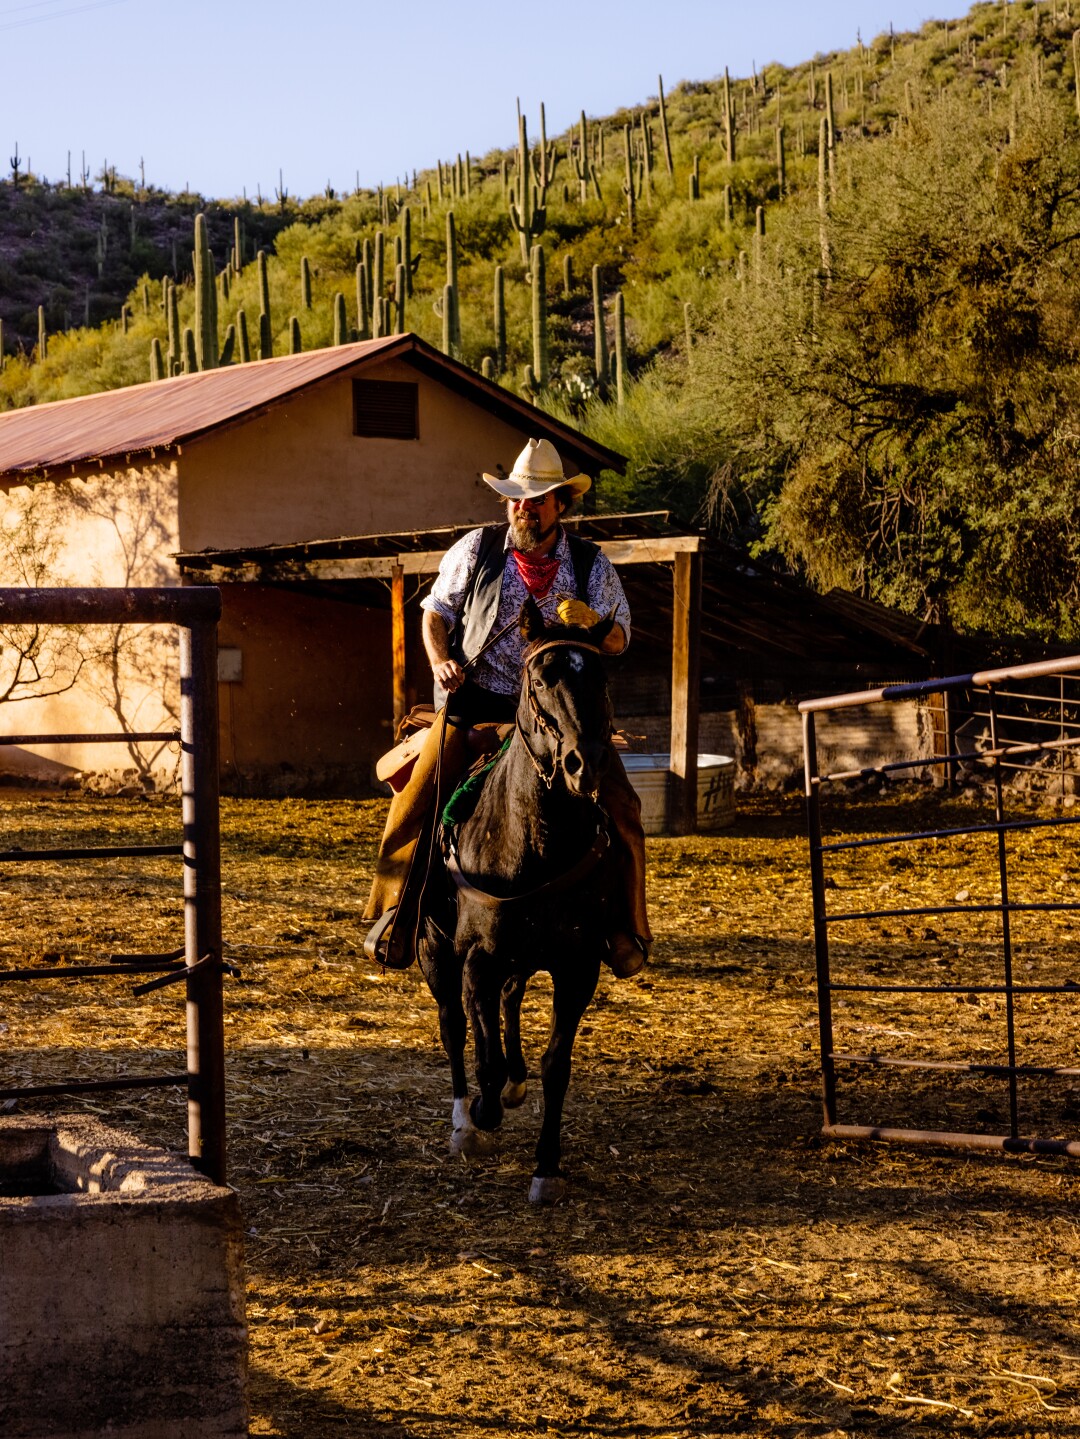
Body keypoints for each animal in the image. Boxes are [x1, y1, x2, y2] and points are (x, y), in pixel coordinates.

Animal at [417, 595, 621, 1203]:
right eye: (540, 677)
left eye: (601, 678)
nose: (584, 763)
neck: (536, 842)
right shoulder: (476, 959)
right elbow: (477, 1044)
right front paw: (481, 1115)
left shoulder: (578, 967)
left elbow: (557, 1066)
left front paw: (547, 1167)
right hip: (435, 952)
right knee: (454, 1026)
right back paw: (466, 1119)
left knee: (508, 1002)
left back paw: (512, 1082)